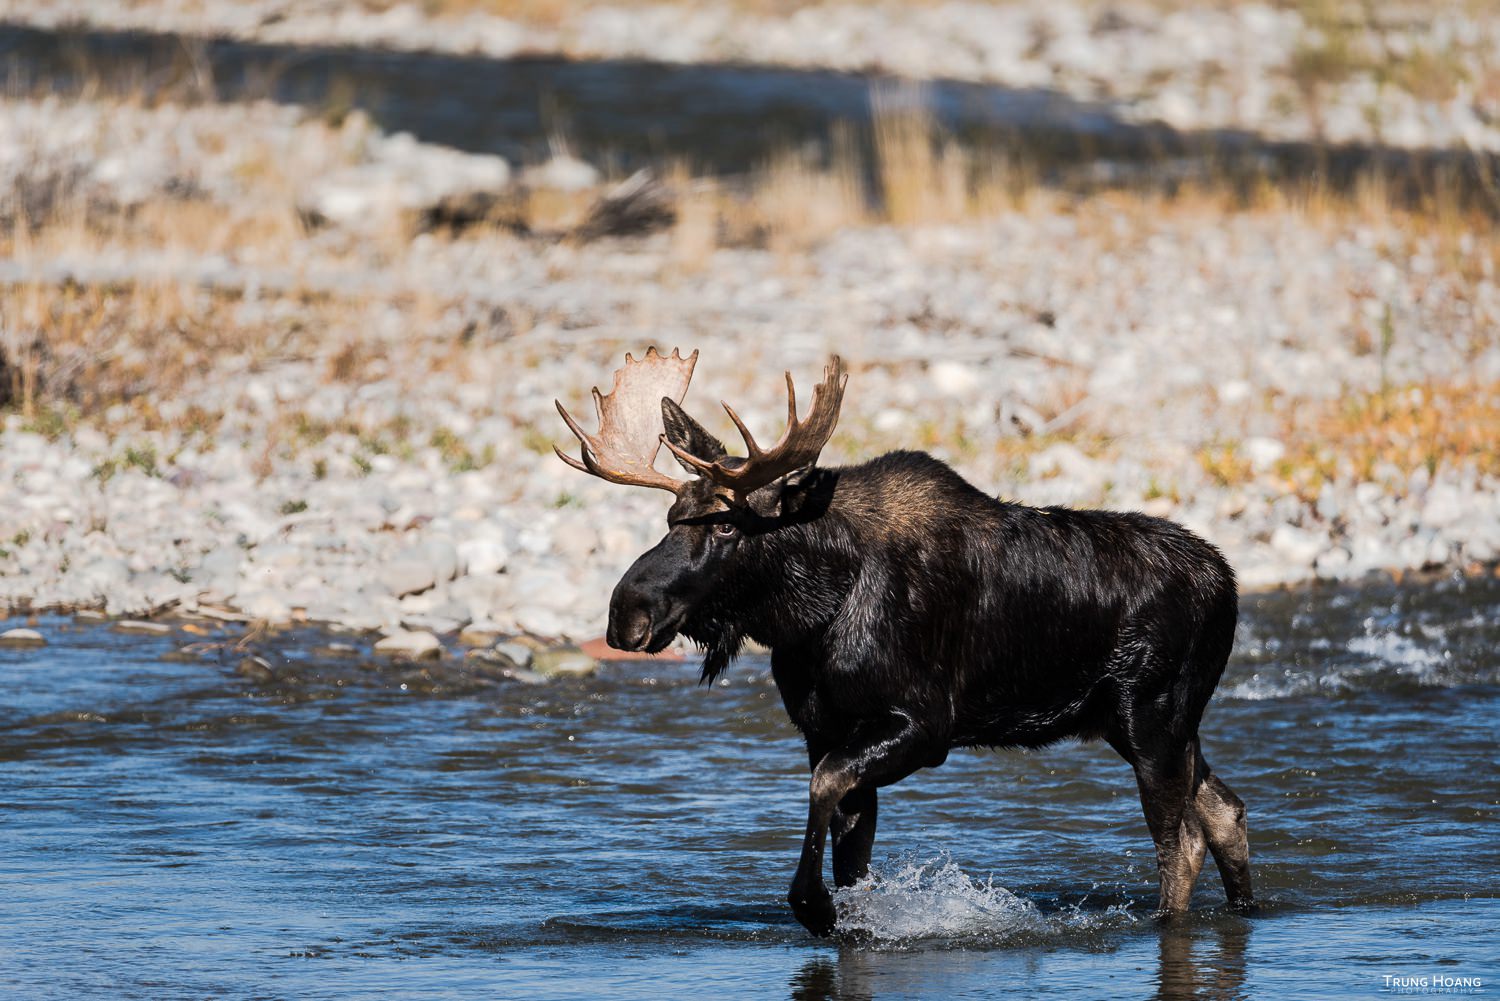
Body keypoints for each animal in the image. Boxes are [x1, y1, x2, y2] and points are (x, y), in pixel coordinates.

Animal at [555, 348, 1254, 936]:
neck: (813, 610)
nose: (626, 613)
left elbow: (825, 790)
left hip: (1151, 716)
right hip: (1143, 721)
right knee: (1225, 810)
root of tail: (1228, 583)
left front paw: (811, 906)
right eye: (671, 518)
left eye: (726, 528)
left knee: (1182, 842)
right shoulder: (825, 729)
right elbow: (849, 851)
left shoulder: (923, 724)